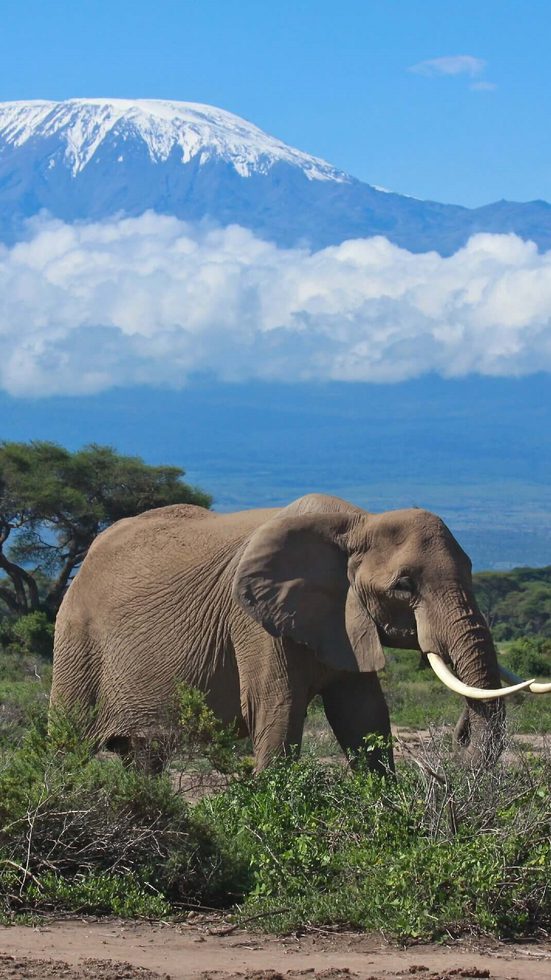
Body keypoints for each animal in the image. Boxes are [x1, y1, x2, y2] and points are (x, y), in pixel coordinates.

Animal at [50, 493, 550, 773]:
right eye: (404, 586)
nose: (460, 734)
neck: (357, 523)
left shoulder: (344, 619)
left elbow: (363, 716)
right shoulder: (253, 623)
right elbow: (277, 712)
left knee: (144, 757)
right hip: (76, 640)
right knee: (66, 744)